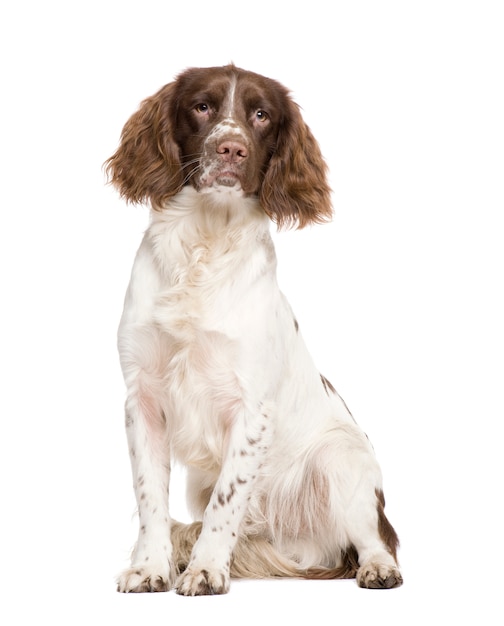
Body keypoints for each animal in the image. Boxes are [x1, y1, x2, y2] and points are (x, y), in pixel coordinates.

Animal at [105, 64, 402, 596]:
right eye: (202, 106)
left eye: (262, 115)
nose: (231, 148)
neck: (205, 242)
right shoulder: (142, 400)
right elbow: (149, 498)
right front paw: (151, 567)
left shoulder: (250, 409)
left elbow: (227, 501)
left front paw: (205, 570)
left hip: (342, 459)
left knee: (378, 538)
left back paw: (377, 568)